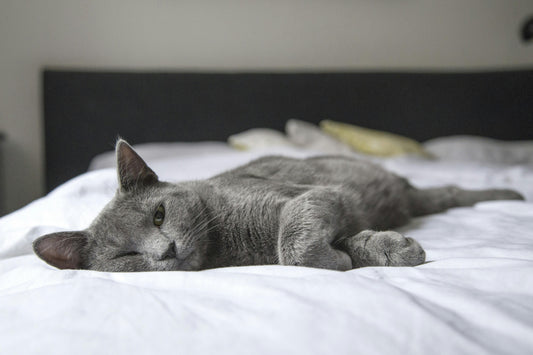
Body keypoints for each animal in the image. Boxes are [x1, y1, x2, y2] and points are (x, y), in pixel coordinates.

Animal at [31, 140, 520, 272]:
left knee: (450, 191)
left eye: (158, 215)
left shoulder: (307, 196)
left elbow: (292, 244)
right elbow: (310, 248)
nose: (165, 250)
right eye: (126, 256)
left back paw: (512, 195)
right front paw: (377, 250)